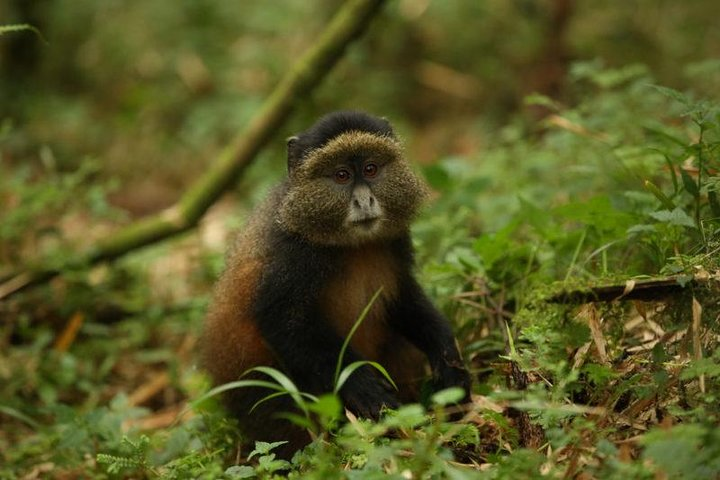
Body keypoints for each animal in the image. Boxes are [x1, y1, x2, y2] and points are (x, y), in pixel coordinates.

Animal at [201, 111, 471, 456]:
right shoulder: (293, 254)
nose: (364, 201)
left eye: (370, 169)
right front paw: (364, 388)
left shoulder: (396, 241)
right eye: (341, 175)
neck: (352, 245)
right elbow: (283, 322)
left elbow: (402, 300)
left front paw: (448, 357)